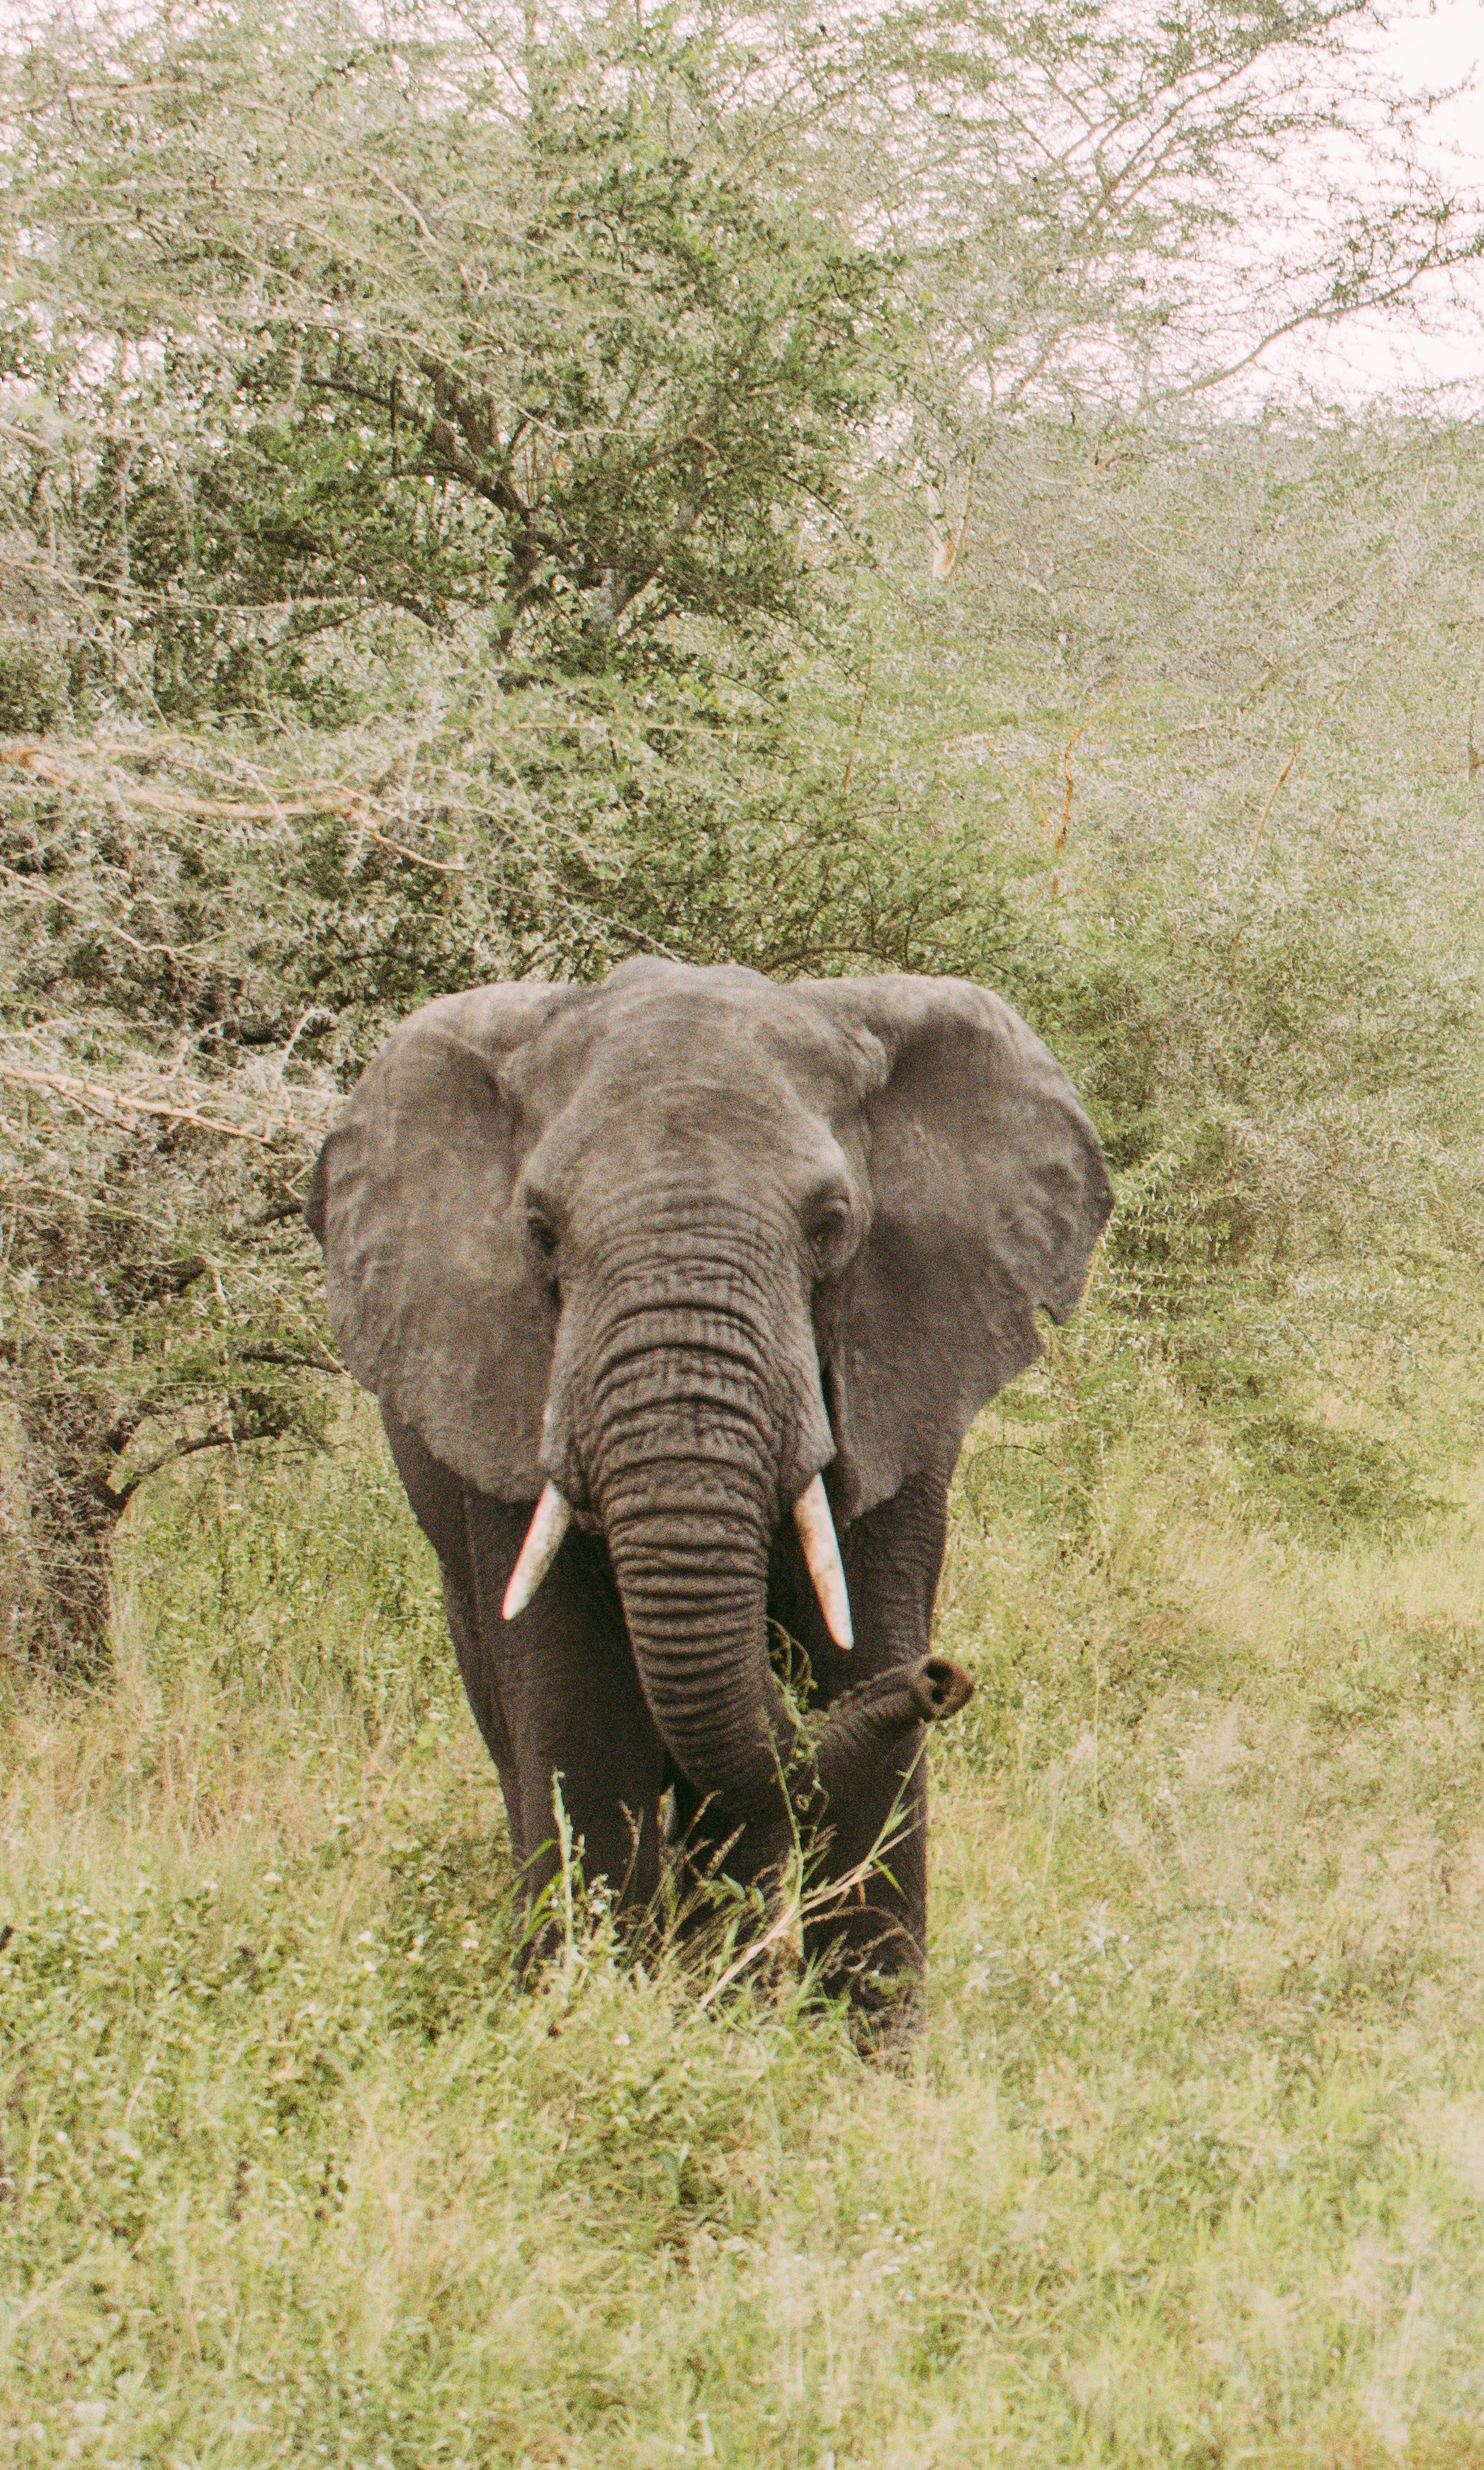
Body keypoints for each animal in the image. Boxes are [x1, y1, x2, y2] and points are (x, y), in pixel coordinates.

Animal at [306, 959, 1112, 2021]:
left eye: (830, 1225)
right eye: (539, 1231)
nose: (945, 1676)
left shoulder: (899, 1371)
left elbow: (857, 1668)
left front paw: (852, 2052)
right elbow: (579, 1714)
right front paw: (583, 2019)